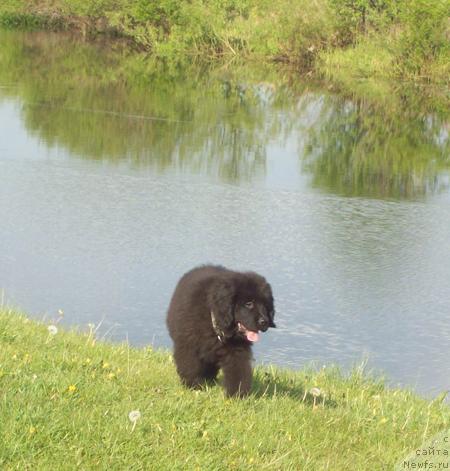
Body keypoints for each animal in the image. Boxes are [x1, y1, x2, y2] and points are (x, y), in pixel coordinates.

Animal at [167, 268, 276, 396]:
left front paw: (237, 395)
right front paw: (193, 386)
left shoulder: (236, 350)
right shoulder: (188, 345)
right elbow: (189, 366)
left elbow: (238, 371)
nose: (264, 322)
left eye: (266, 305)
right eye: (249, 304)